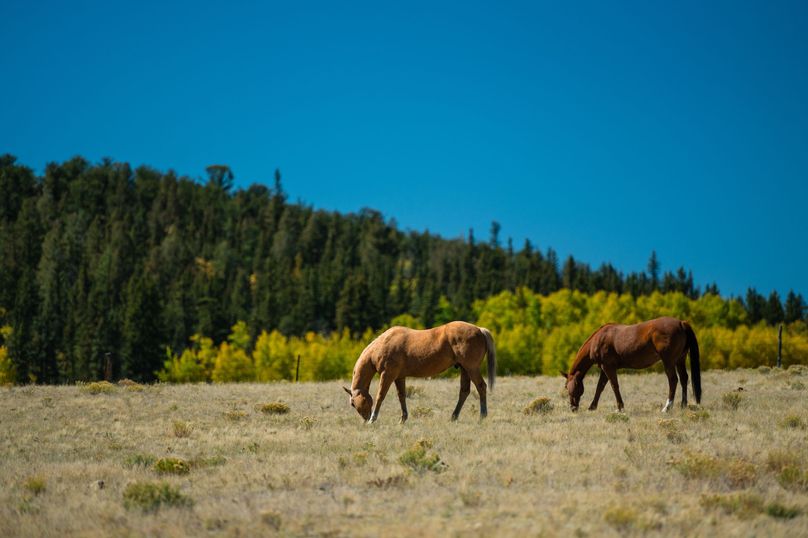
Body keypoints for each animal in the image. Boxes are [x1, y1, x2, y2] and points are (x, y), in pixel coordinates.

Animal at [344, 318, 496, 422]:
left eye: (352, 403)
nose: (365, 419)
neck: (382, 345)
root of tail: (479, 330)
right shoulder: (399, 377)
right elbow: (401, 396)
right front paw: (403, 419)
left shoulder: (387, 375)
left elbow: (380, 396)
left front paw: (373, 419)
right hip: (465, 369)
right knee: (464, 392)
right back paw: (454, 417)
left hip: (471, 368)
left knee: (481, 387)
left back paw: (482, 416)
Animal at [560, 314, 700, 410]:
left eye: (569, 386)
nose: (573, 408)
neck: (598, 339)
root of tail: (681, 323)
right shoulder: (604, 368)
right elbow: (600, 387)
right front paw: (592, 407)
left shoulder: (608, 367)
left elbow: (614, 386)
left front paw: (620, 407)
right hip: (680, 360)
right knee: (684, 378)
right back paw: (683, 405)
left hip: (668, 361)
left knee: (673, 380)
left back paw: (667, 407)